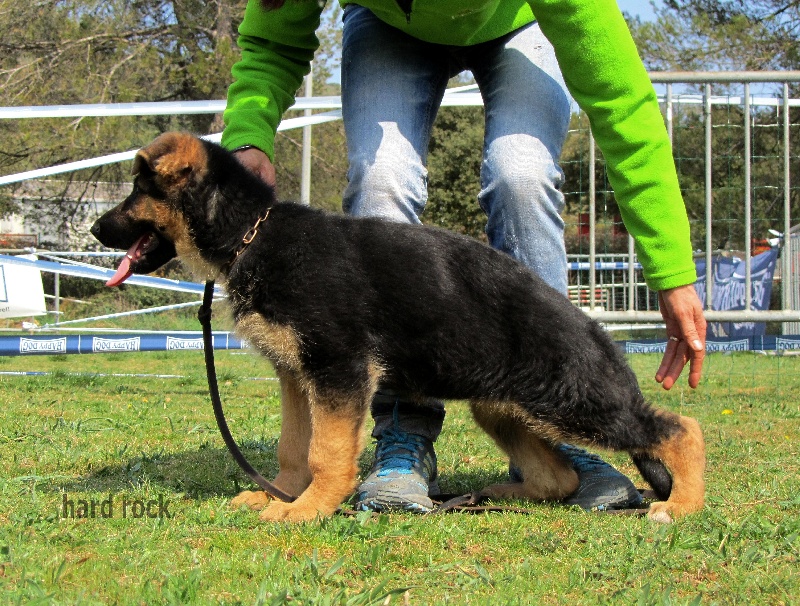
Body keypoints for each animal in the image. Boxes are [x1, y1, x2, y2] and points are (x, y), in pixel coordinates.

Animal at [92, 135, 708, 524]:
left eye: (136, 192)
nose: (96, 229)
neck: (252, 233)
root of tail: (590, 325)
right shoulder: (297, 374)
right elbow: (295, 447)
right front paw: (283, 496)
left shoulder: (337, 369)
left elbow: (326, 452)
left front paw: (307, 509)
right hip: (503, 406)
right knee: (559, 478)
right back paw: (501, 494)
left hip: (573, 399)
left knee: (679, 429)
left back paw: (682, 506)